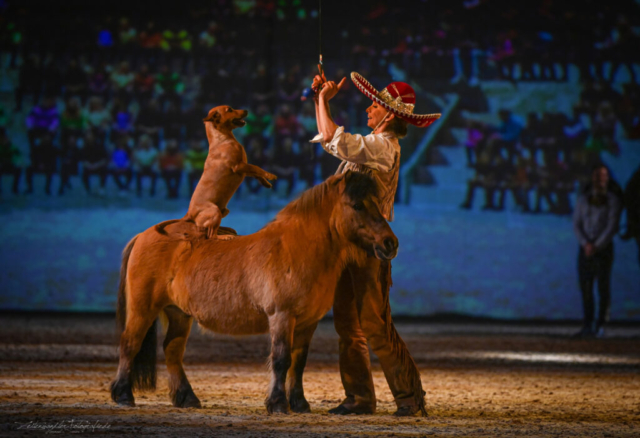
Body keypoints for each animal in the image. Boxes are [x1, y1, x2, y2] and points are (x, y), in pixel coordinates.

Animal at [112, 171, 398, 414]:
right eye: (358, 205)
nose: (390, 243)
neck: (297, 249)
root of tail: (144, 235)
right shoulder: (282, 316)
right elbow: (281, 359)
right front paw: (278, 404)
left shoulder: (307, 323)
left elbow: (299, 362)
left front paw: (300, 404)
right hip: (143, 308)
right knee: (130, 344)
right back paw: (123, 395)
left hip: (179, 313)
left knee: (172, 350)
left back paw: (187, 399)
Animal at [158, 106, 276, 240]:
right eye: (229, 110)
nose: (246, 110)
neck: (222, 139)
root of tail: (189, 214)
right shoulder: (238, 166)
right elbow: (257, 168)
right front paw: (270, 175)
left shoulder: (244, 168)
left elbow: (256, 173)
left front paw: (266, 183)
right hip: (215, 212)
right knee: (211, 235)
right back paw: (225, 236)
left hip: (223, 211)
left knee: (212, 230)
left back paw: (226, 231)